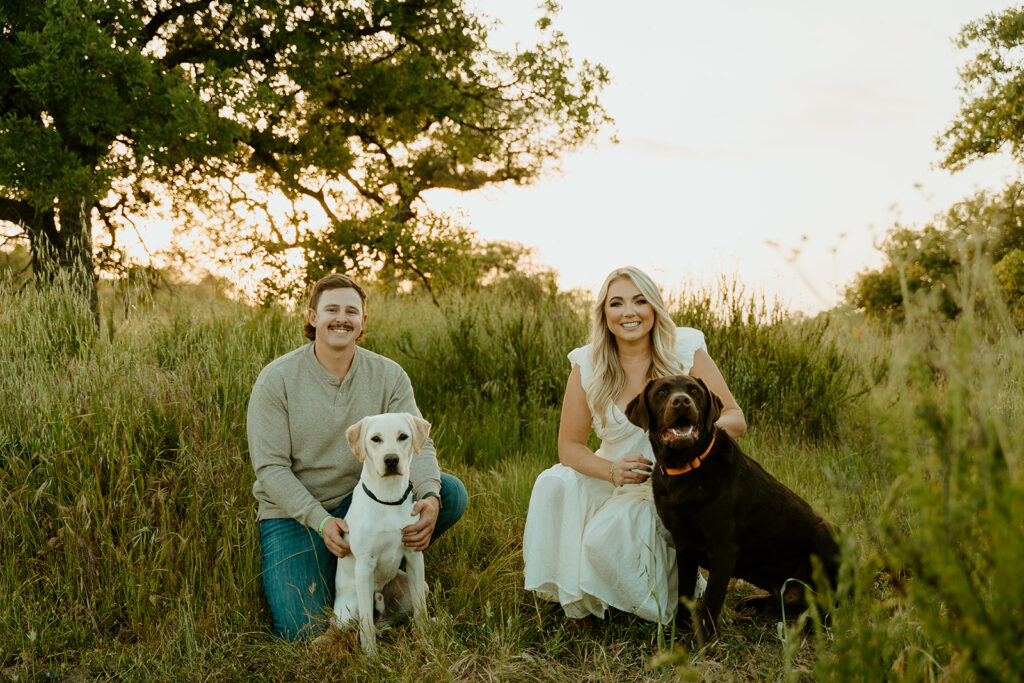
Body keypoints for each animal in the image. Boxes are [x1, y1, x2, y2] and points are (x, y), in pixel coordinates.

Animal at [333, 413, 430, 655]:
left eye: (403, 436)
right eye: (375, 439)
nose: (391, 459)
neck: (388, 497)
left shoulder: (414, 556)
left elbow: (421, 609)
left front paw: (426, 638)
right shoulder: (364, 565)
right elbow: (366, 622)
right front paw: (370, 655)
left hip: (415, 587)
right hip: (348, 610)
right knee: (362, 622)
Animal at [622, 374, 839, 643]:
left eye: (694, 391)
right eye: (661, 392)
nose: (682, 401)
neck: (686, 469)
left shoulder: (724, 549)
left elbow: (711, 600)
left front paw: (704, 642)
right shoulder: (683, 546)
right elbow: (684, 593)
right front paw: (679, 632)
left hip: (826, 531)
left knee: (833, 604)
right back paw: (755, 602)